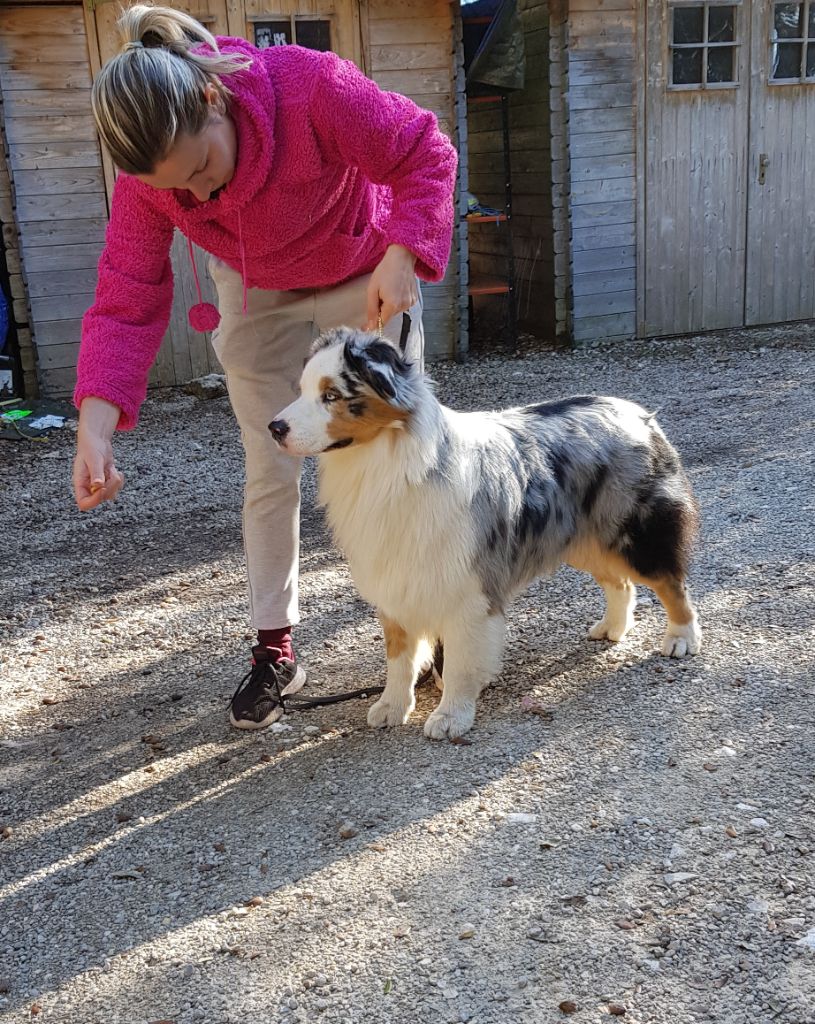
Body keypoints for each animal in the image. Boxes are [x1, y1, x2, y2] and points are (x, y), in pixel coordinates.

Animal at [269, 328, 702, 740]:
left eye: (331, 395)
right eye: (303, 390)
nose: (274, 427)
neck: (391, 463)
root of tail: (637, 413)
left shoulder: (469, 589)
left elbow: (460, 662)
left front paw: (451, 716)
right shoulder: (395, 581)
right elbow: (399, 657)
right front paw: (392, 707)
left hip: (636, 533)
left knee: (669, 582)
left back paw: (682, 638)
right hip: (585, 538)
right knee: (621, 583)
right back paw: (613, 628)